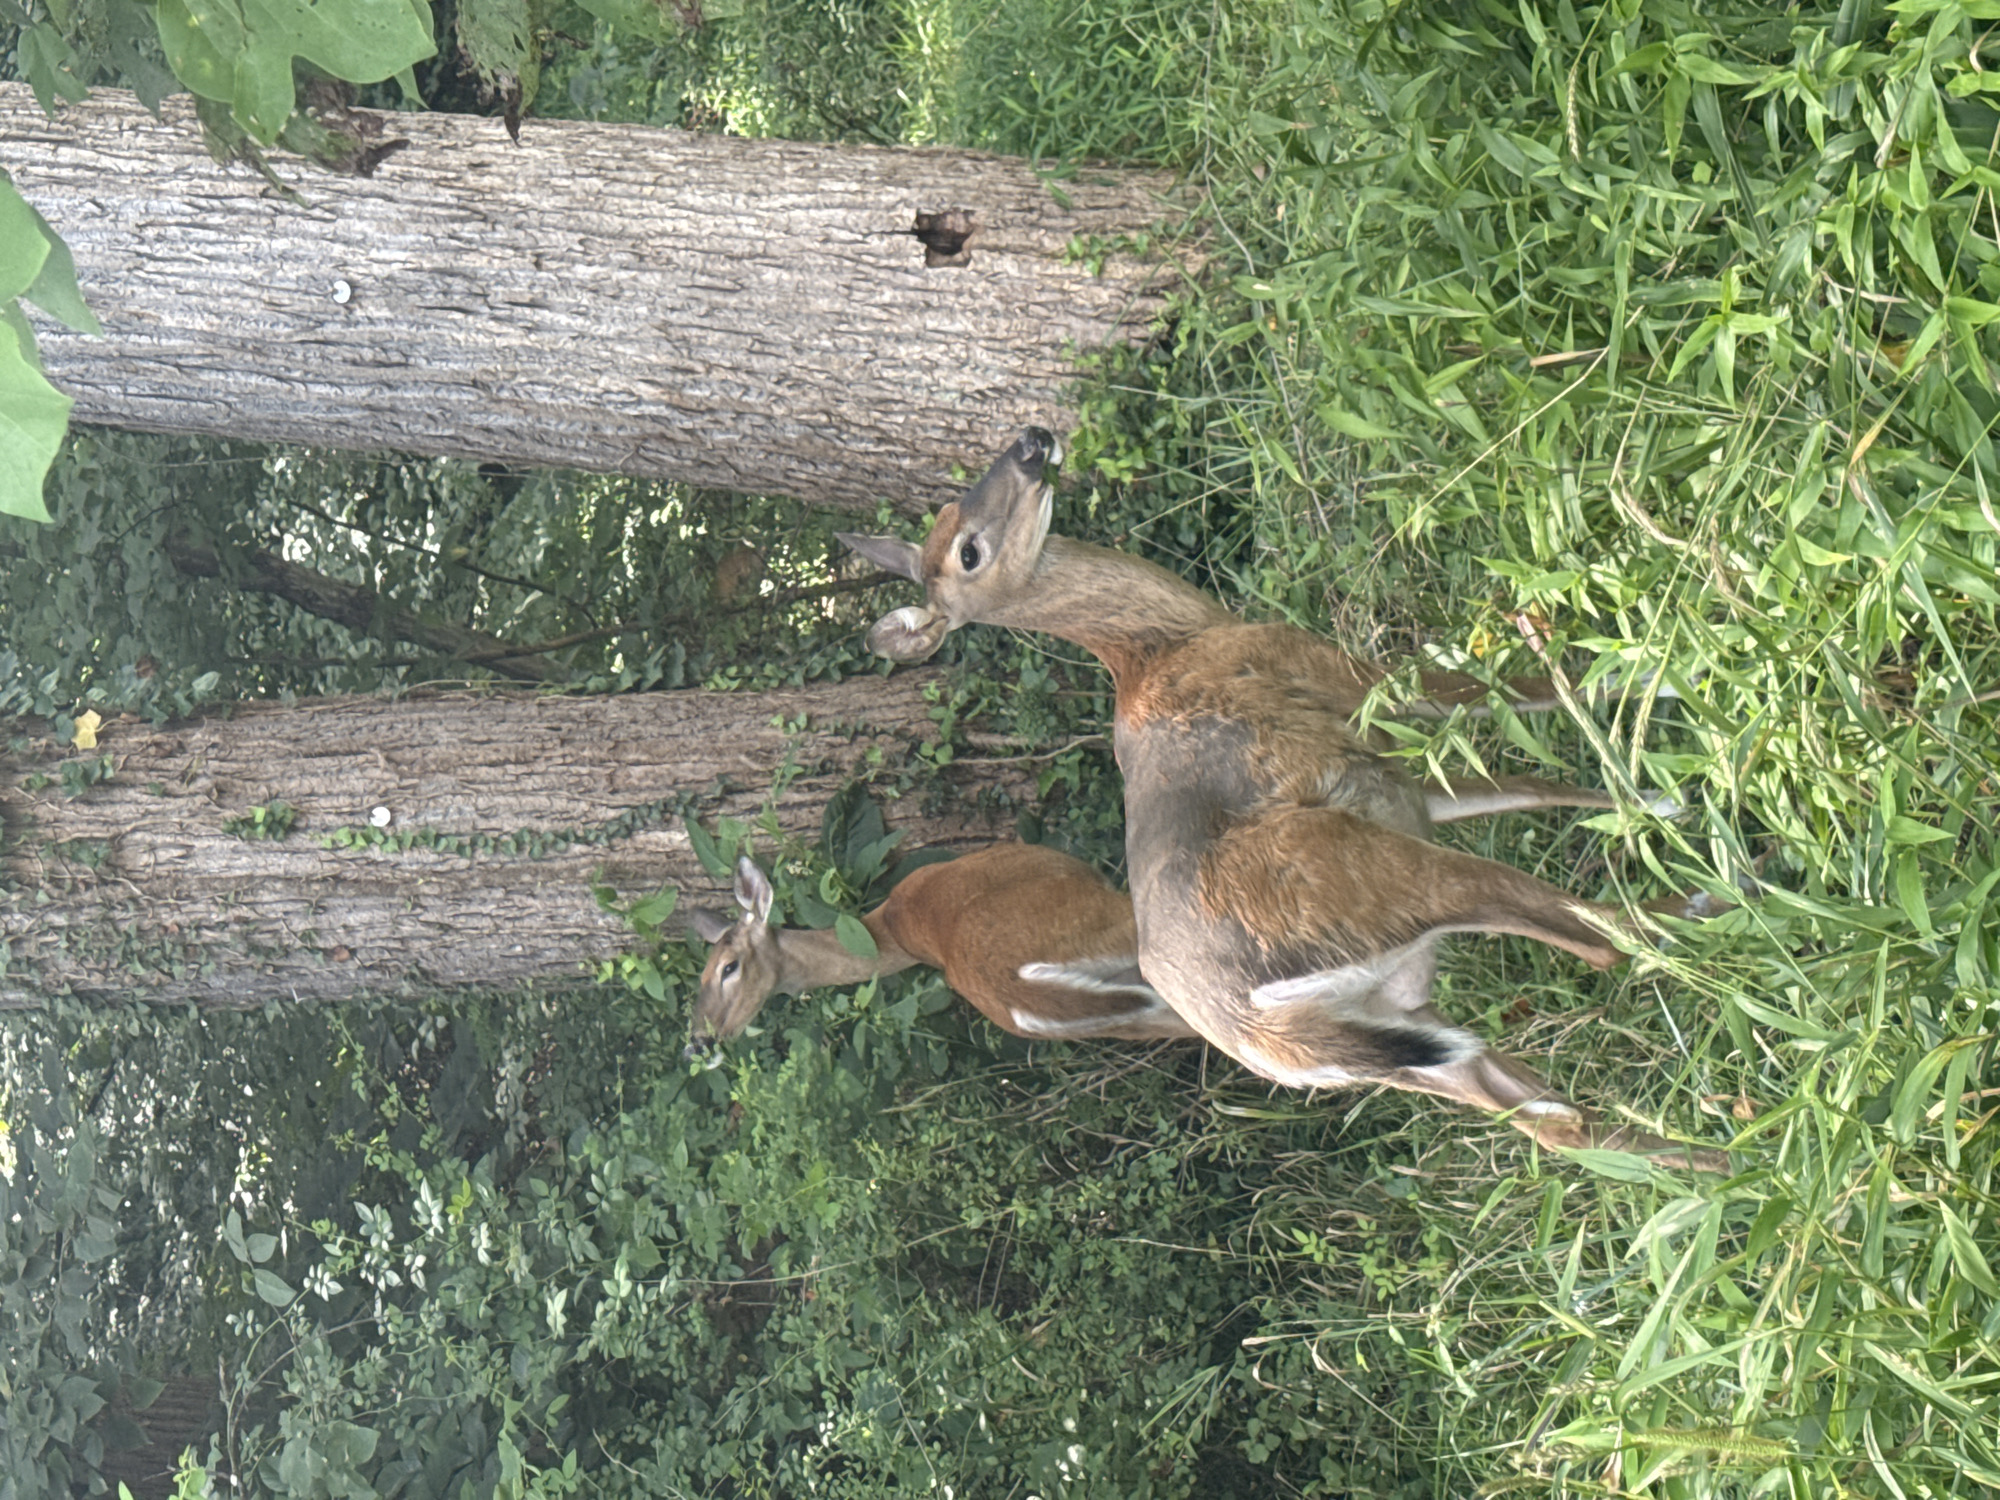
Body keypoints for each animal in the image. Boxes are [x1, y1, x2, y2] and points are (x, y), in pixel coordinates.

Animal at [836, 428, 1734, 1171]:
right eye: (970, 550)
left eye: (956, 515)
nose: (1031, 442)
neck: (1167, 642)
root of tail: (1250, 1023)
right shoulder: (1349, 681)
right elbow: (1513, 694)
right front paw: (1663, 680)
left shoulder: (1387, 773)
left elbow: (1519, 784)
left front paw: (1651, 791)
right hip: (1363, 878)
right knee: (1599, 942)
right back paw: (1721, 899)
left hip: (1388, 1026)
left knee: (1556, 1122)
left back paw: (1725, 1166)